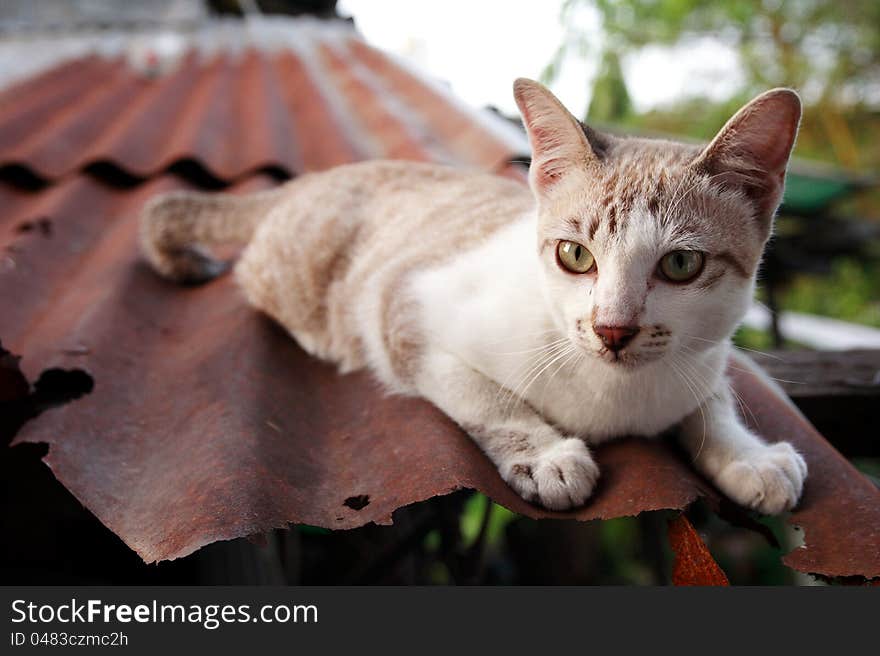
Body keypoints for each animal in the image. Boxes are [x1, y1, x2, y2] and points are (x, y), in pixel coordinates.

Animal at [141, 79, 808, 516]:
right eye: (575, 255)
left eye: (680, 264)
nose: (612, 329)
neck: (615, 397)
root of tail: (310, 178)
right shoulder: (402, 303)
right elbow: (482, 394)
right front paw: (546, 455)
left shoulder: (703, 357)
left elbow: (712, 403)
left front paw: (748, 457)